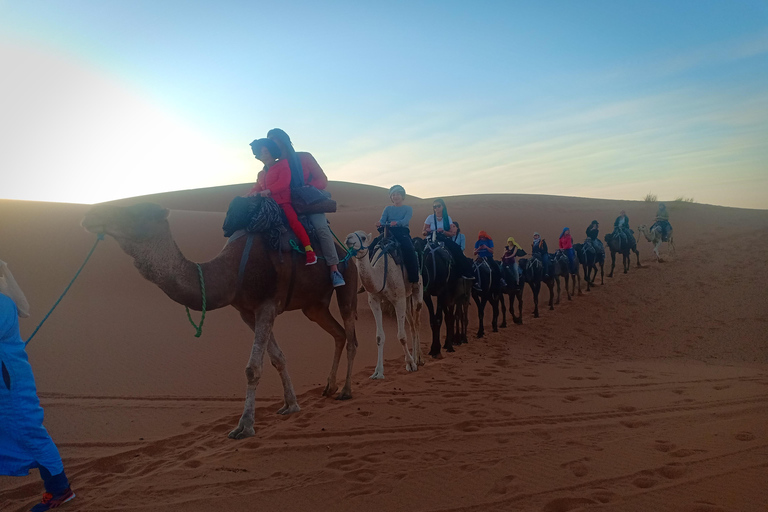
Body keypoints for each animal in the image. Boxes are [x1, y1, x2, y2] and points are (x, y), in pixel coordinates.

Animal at [82, 202, 358, 438]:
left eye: (135, 212)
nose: (90, 215)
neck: (231, 273)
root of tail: (346, 250)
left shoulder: (267, 305)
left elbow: (252, 368)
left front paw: (244, 426)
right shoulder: (246, 312)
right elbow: (277, 358)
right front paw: (290, 405)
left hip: (348, 281)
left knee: (351, 335)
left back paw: (345, 391)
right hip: (314, 307)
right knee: (338, 334)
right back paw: (329, 387)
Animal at [344, 230, 424, 378]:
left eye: (363, 237)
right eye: (350, 234)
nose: (348, 239)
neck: (381, 274)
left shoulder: (398, 299)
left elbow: (401, 336)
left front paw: (410, 364)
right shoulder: (374, 300)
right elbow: (379, 337)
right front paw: (378, 372)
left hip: (417, 290)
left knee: (417, 323)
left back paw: (419, 359)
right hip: (406, 298)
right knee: (412, 325)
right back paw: (416, 357)